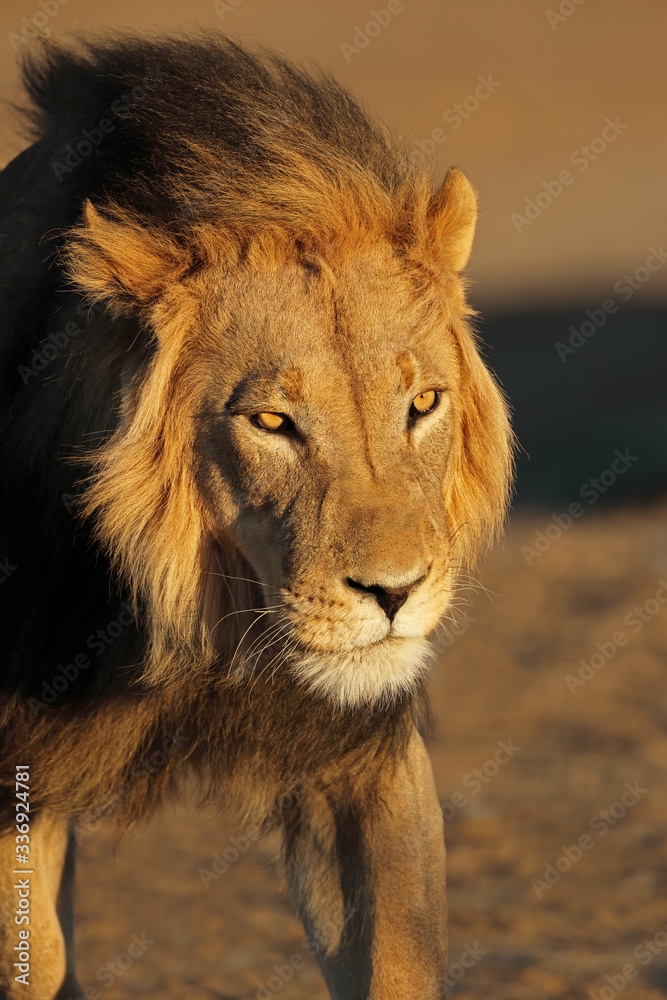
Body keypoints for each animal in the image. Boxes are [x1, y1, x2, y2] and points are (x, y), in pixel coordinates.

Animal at [0, 34, 513, 999]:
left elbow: (394, 957)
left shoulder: (358, 754)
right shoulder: (22, 773)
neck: (198, 622)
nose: (394, 594)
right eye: (272, 422)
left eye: (423, 404)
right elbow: (31, 957)